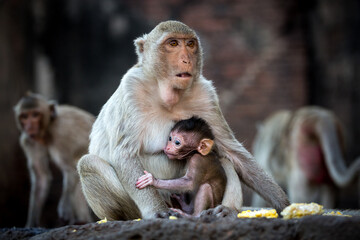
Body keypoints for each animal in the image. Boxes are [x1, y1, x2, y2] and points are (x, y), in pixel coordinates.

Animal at [13, 92, 94, 227]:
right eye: (24, 116)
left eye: (35, 115)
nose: (29, 126)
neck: (47, 130)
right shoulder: (28, 141)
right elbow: (41, 178)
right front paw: (31, 224)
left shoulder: (61, 134)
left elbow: (70, 169)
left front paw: (64, 208)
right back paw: (83, 221)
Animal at [76, 20, 290, 221]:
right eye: (172, 44)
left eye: (190, 44)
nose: (186, 60)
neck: (167, 96)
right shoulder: (132, 89)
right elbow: (124, 154)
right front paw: (155, 211)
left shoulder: (205, 95)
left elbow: (232, 151)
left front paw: (283, 203)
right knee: (88, 163)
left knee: (221, 157)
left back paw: (227, 211)